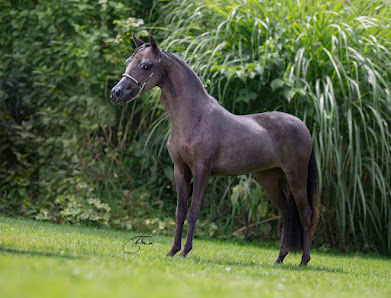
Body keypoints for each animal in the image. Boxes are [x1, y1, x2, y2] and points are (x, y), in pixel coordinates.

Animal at [110, 35, 318, 268]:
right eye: (128, 62)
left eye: (146, 65)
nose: (116, 93)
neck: (194, 117)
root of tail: (302, 126)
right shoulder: (180, 171)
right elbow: (180, 211)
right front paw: (172, 251)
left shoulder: (202, 170)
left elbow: (193, 211)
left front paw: (185, 251)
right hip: (269, 179)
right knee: (286, 212)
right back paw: (279, 258)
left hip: (296, 177)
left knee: (305, 214)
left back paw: (304, 261)